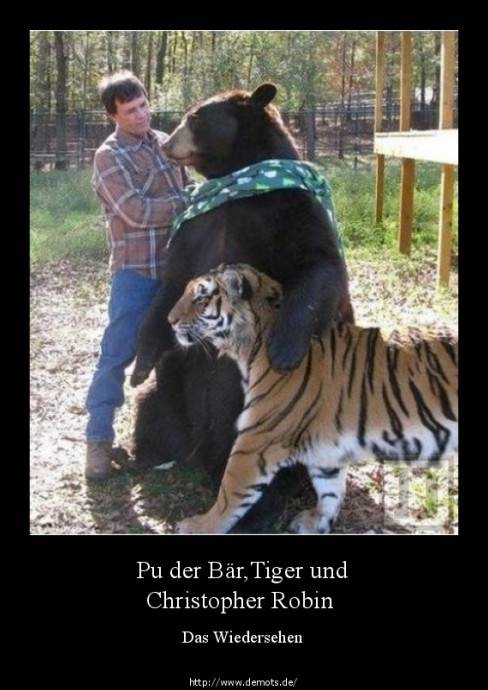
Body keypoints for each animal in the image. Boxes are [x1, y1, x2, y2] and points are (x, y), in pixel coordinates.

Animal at [130, 83, 354, 532]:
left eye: (194, 117)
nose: (165, 143)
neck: (236, 180)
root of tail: (197, 454)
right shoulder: (196, 224)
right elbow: (171, 283)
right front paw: (140, 361)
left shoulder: (288, 207)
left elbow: (319, 263)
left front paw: (282, 349)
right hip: (171, 392)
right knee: (150, 409)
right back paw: (142, 456)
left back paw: (263, 505)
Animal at [168, 263, 458, 534]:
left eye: (201, 298)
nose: (170, 320)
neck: (251, 347)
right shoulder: (327, 447)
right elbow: (330, 489)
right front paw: (316, 522)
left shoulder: (257, 441)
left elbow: (229, 494)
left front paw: (198, 526)